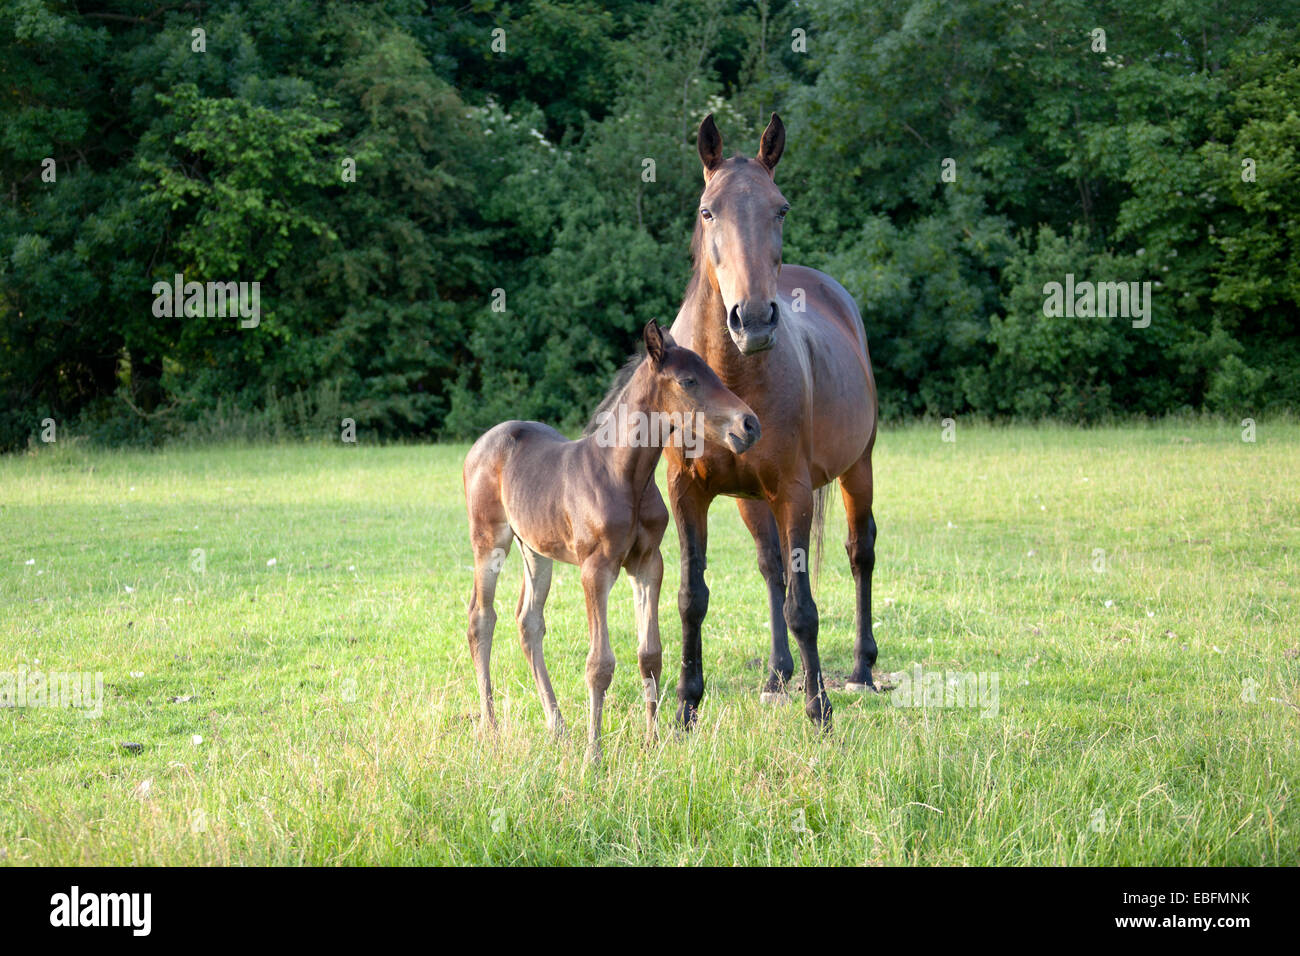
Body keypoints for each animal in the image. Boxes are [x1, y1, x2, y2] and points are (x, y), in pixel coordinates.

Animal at [463, 320, 761, 760]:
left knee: (528, 621)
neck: (624, 475)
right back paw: (492, 728)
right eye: (688, 381)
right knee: (481, 619)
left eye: (715, 375)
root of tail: (481, 443)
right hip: (490, 542)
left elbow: (650, 655)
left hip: (535, 549)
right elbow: (599, 664)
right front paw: (594, 754)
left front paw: (653, 741)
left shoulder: (648, 564)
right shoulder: (595, 569)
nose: (749, 425)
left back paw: (557, 725)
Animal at [666, 113, 880, 729]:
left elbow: (803, 605)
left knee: (860, 553)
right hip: (750, 499)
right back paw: (777, 676)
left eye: (780, 209)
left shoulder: (794, 491)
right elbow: (692, 597)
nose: (754, 319)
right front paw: (685, 707)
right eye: (707, 210)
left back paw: (860, 670)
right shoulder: (686, 493)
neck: (729, 376)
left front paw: (819, 708)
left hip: (859, 467)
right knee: (771, 566)